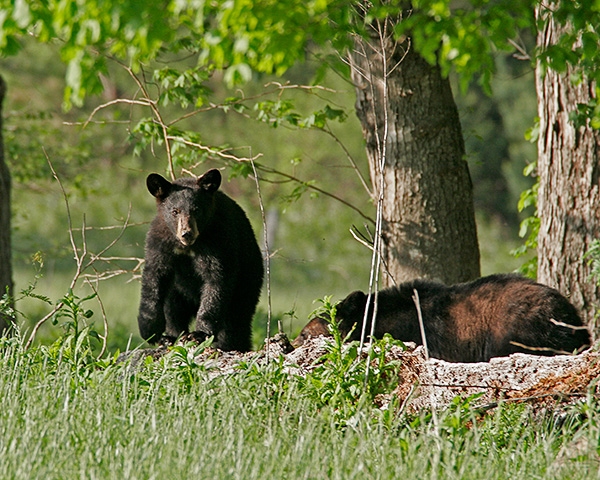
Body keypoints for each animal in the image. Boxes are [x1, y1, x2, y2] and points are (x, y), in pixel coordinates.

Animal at [141, 170, 264, 352]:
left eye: (196, 210)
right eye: (175, 211)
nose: (187, 233)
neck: (188, 246)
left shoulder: (219, 240)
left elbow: (217, 280)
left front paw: (200, 333)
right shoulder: (160, 241)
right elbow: (154, 276)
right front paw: (150, 330)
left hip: (248, 279)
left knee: (236, 318)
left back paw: (230, 344)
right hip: (178, 291)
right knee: (173, 307)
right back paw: (172, 337)